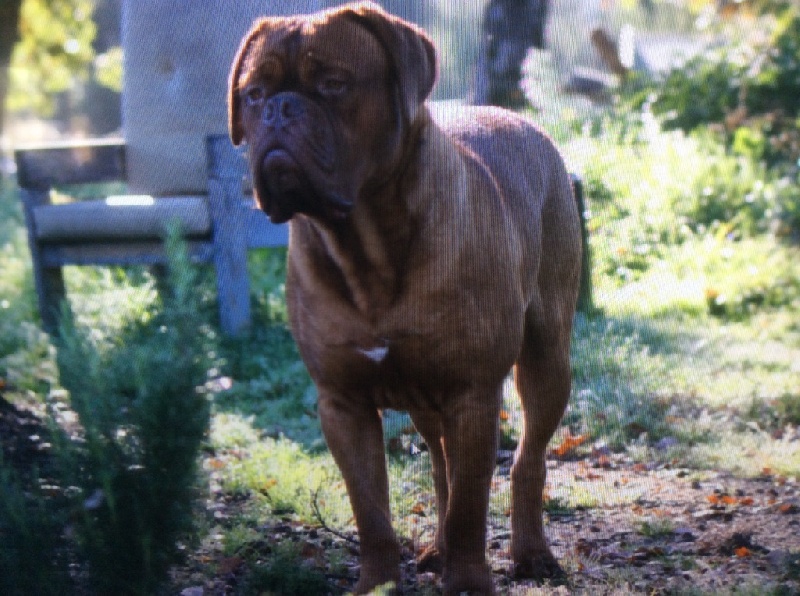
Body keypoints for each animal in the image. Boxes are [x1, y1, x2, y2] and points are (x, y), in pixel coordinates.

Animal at [228, 3, 580, 592]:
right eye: (253, 93)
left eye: (333, 84)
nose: (279, 109)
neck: (366, 244)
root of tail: (516, 117)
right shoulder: (343, 404)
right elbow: (372, 511)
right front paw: (378, 583)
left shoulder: (472, 393)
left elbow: (470, 506)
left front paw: (468, 582)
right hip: (424, 400)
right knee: (441, 469)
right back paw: (438, 548)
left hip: (546, 357)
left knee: (526, 458)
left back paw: (532, 552)